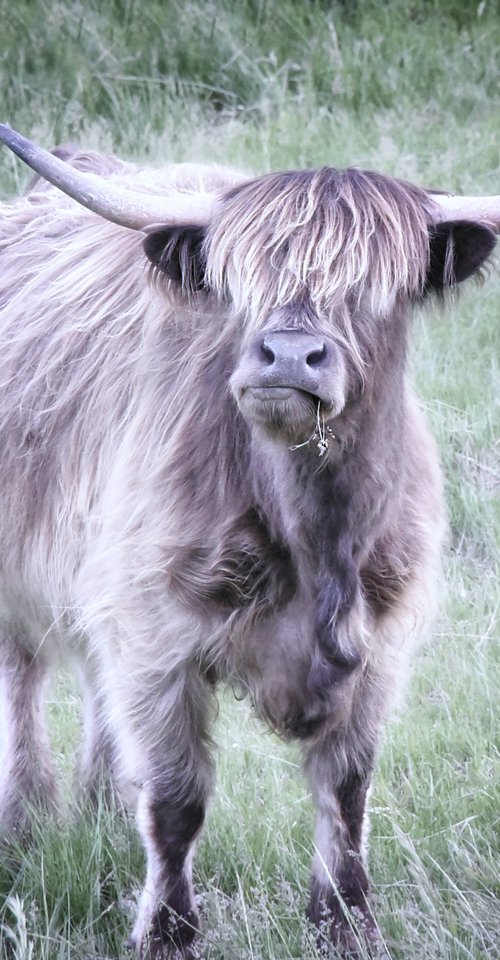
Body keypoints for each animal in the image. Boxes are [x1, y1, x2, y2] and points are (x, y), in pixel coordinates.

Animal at [0, 124, 498, 956]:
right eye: (241, 284)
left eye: (373, 288)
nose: (288, 356)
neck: (319, 538)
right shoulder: (158, 634)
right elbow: (176, 800)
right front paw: (166, 933)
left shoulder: (381, 645)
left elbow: (346, 791)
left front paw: (347, 924)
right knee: (22, 680)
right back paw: (26, 824)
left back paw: (101, 814)